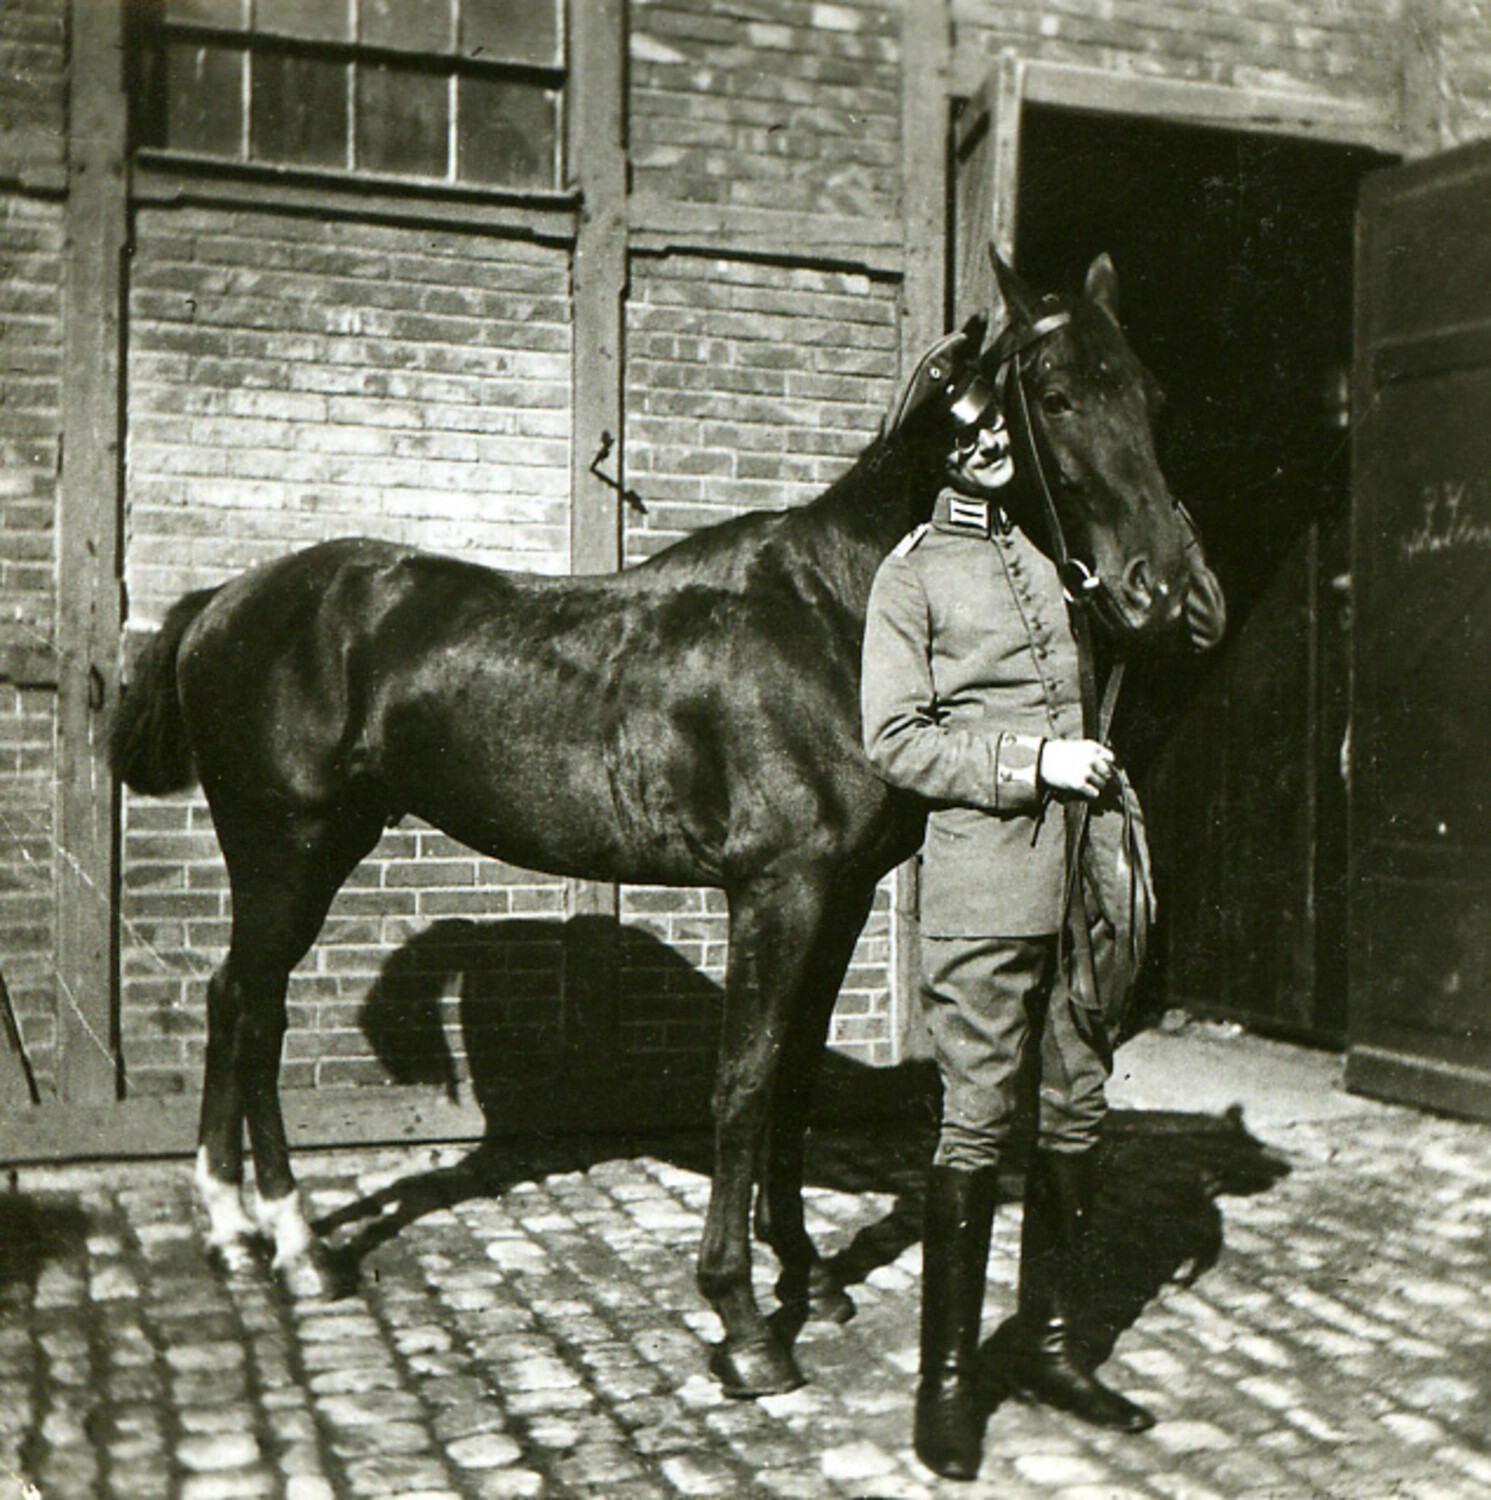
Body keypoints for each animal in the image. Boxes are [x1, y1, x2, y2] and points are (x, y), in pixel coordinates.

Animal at [111, 252, 1205, 1399]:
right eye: (1055, 394)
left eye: (1151, 396)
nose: (1168, 593)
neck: (835, 614)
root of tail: (225, 600)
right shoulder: (777, 890)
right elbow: (744, 1082)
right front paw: (743, 1321)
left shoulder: (841, 897)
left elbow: (795, 1082)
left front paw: (807, 1277)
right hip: (289, 853)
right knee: (253, 1009)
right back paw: (290, 1241)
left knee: (238, 1005)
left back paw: (242, 1234)